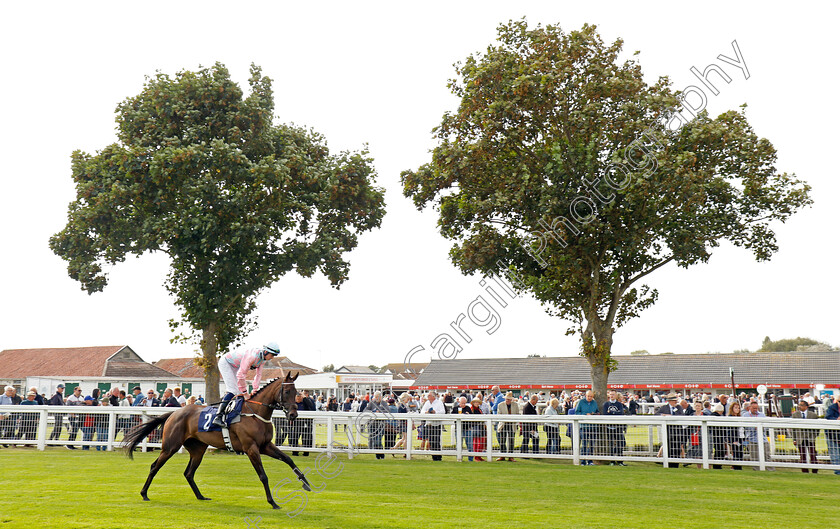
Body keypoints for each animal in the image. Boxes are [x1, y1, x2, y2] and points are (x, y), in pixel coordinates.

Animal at [121, 372, 312, 508]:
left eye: (297, 392)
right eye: (287, 391)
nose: (293, 415)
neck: (255, 414)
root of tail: (174, 413)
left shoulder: (265, 445)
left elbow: (288, 459)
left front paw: (306, 482)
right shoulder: (251, 448)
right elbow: (263, 476)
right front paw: (272, 502)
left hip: (198, 449)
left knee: (189, 473)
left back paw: (200, 496)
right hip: (170, 447)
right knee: (155, 466)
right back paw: (144, 494)